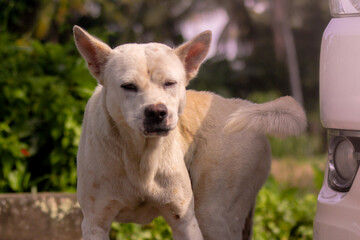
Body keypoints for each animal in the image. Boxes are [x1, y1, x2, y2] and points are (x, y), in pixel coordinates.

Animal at [74, 25, 306, 240]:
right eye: (128, 86)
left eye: (170, 83)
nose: (157, 112)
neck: (141, 155)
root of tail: (244, 104)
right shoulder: (95, 223)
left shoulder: (184, 222)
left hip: (214, 214)